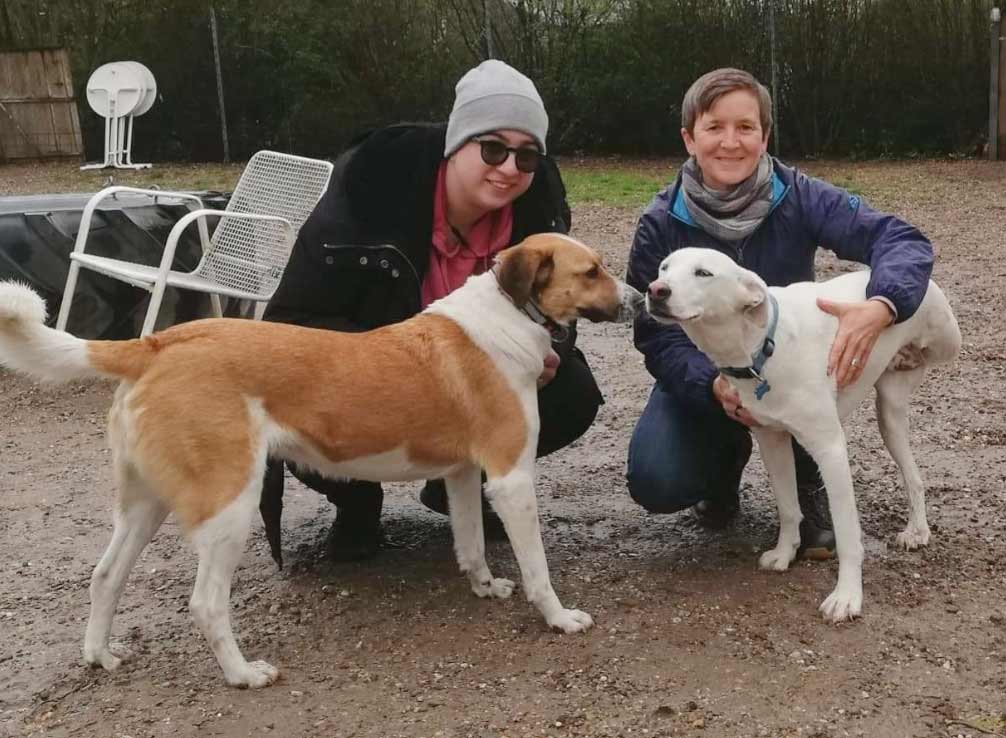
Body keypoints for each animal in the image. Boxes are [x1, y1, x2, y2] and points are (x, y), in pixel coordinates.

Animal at [0, 235, 643, 687]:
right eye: (590, 271)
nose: (643, 297)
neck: (506, 317)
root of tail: (157, 343)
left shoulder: (462, 474)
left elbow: (471, 545)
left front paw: (484, 588)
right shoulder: (511, 479)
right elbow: (537, 568)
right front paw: (558, 618)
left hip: (145, 505)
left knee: (105, 575)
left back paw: (100, 655)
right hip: (230, 506)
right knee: (206, 604)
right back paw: (242, 675)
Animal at [643, 248, 957, 623]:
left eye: (703, 273)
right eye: (664, 268)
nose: (655, 290)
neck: (761, 347)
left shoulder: (831, 450)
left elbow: (848, 536)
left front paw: (847, 596)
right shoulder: (772, 442)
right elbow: (788, 506)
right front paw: (784, 552)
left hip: (911, 388)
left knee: (914, 477)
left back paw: (917, 531)